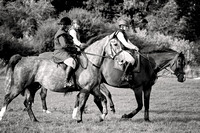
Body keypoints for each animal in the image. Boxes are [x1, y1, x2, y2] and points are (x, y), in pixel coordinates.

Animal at [38, 48, 186, 121]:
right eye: (180, 62)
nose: (183, 78)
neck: (149, 65)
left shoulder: (147, 88)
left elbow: (147, 105)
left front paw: (147, 119)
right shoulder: (137, 88)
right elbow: (140, 105)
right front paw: (127, 116)